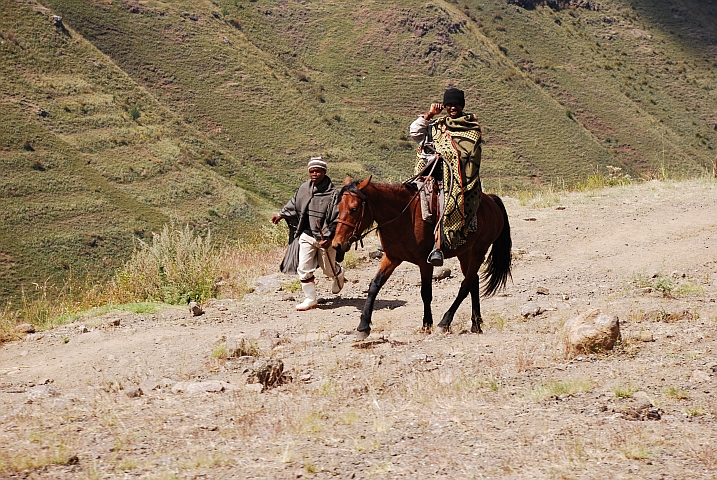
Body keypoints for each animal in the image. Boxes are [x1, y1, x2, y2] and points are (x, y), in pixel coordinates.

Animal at [332, 177, 512, 342]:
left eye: (354, 209)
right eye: (338, 208)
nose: (337, 244)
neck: (402, 216)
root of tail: (491, 200)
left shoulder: (425, 262)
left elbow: (426, 292)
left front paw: (427, 323)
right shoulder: (391, 257)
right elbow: (374, 286)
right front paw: (363, 326)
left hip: (479, 251)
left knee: (466, 285)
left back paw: (445, 322)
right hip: (465, 253)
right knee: (473, 282)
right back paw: (476, 324)